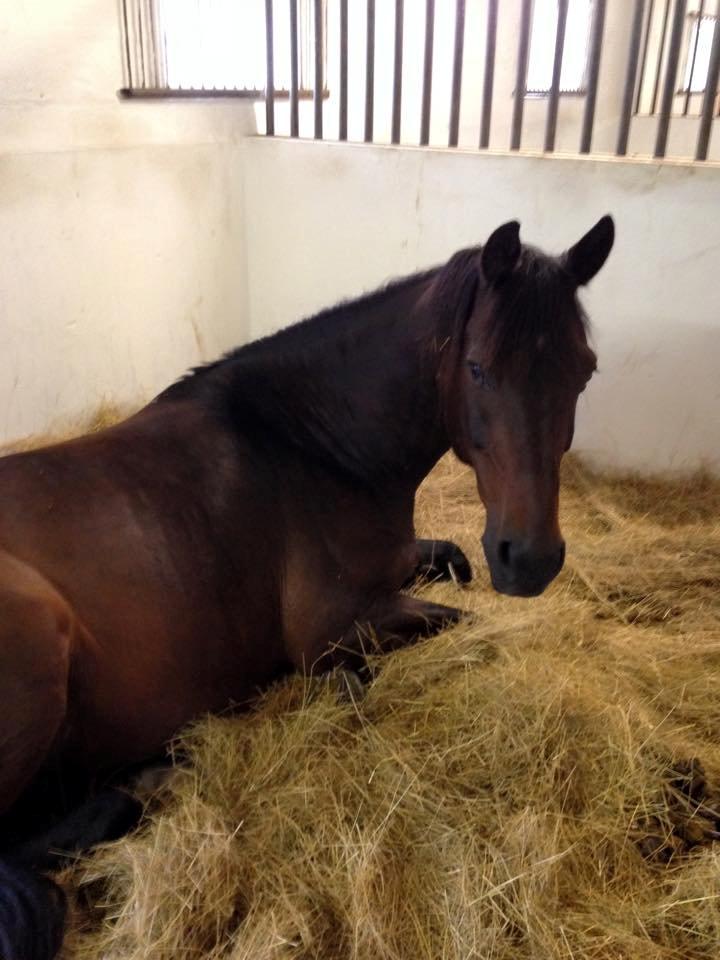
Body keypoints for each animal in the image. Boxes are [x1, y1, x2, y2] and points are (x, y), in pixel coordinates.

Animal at [0, 218, 612, 960]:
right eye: (478, 368)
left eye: (585, 370)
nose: (530, 559)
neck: (314, 446)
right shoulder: (331, 633)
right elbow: (452, 625)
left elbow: (451, 563)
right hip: (39, 637)